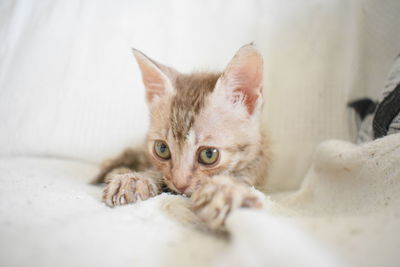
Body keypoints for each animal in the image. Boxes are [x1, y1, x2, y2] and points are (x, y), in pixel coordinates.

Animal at [93, 44, 268, 230]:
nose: (180, 184)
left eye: (209, 155)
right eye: (162, 149)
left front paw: (224, 191)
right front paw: (134, 179)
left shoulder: (258, 165)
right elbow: (158, 172)